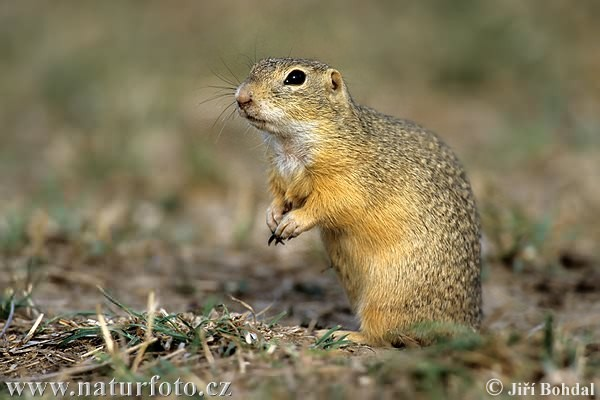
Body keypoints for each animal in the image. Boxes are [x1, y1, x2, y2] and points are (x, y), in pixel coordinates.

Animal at [234, 57, 482, 346]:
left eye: (295, 78)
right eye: (254, 68)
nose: (242, 97)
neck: (288, 144)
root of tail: (468, 327)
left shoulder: (349, 181)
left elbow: (330, 204)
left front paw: (292, 222)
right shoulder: (279, 176)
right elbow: (279, 196)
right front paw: (272, 215)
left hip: (385, 299)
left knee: (382, 337)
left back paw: (343, 333)